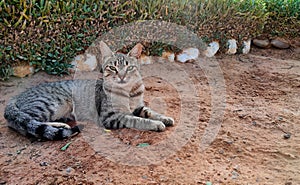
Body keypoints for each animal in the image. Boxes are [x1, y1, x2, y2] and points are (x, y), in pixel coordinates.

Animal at [3, 41, 175, 140]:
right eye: (113, 68)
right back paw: (60, 127)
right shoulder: (110, 117)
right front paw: (156, 124)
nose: (121, 76)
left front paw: (165, 118)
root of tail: (16, 96)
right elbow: (136, 120)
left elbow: (150, 111)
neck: (128, 92)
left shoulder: (138, 106)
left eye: (129, 67)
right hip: (49, 104)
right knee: (20, 122)